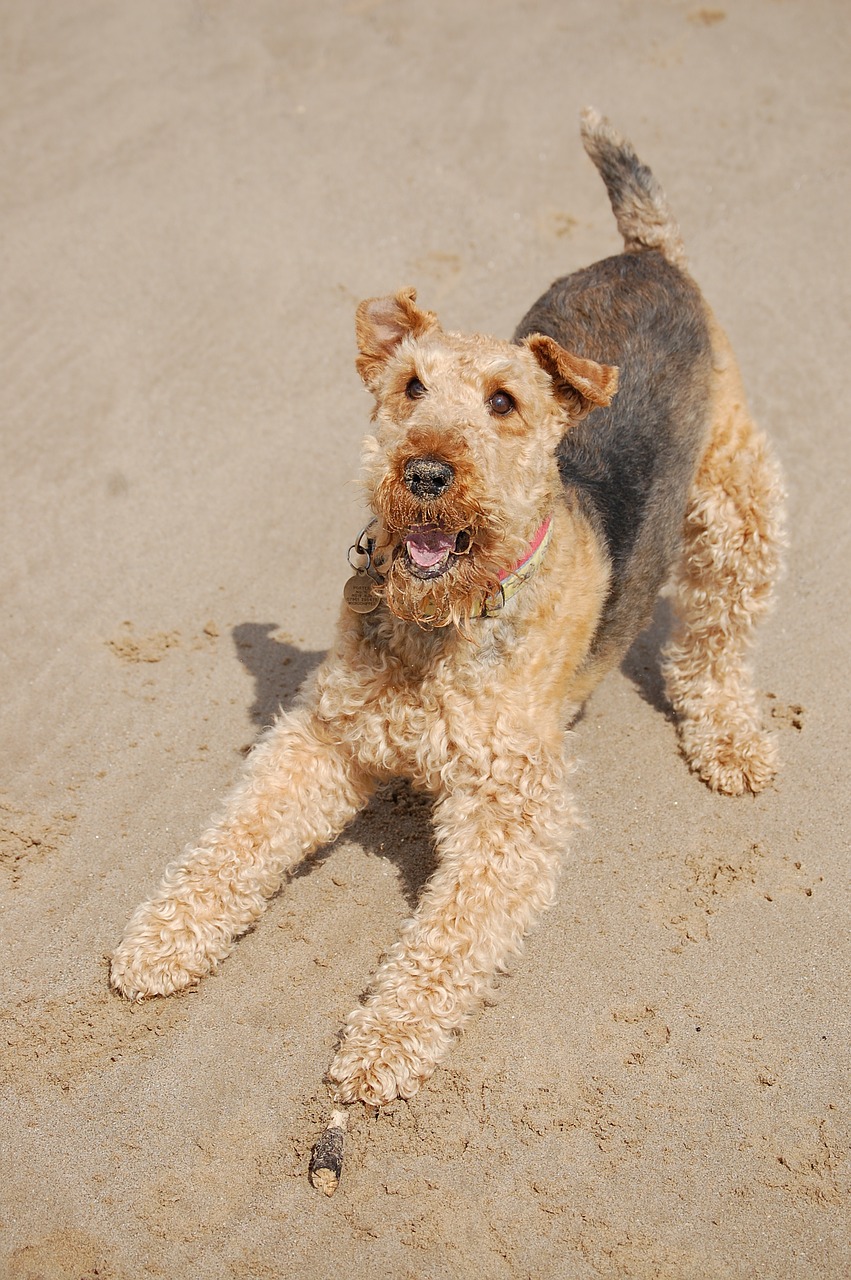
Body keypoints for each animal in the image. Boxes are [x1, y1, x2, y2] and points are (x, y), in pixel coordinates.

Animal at [111, 110, 783, 1172]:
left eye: (504, 402)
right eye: (408, 386)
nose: (423, 472)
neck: (445, 625)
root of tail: (644, 255)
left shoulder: (509, 809)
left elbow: (445, 942)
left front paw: (378, 1050)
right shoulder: (322, 739)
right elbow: (233, 841)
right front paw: (159, 944)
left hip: (734, 493)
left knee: (719, 633)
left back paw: (731, 743)